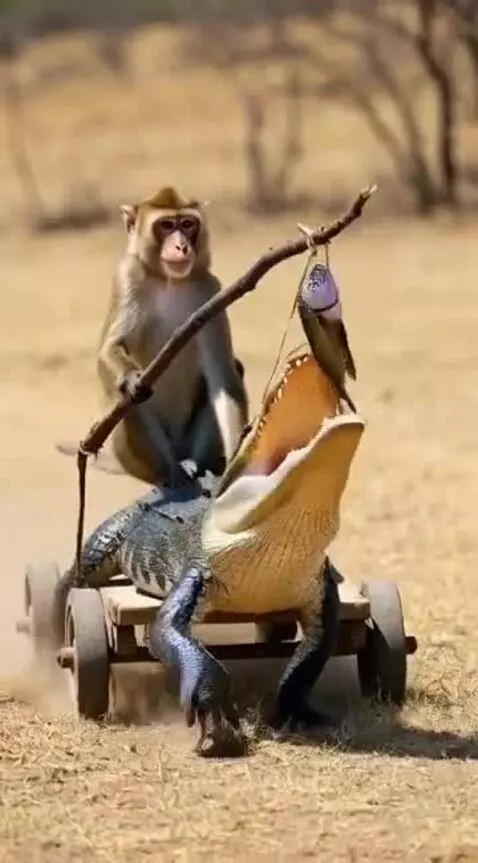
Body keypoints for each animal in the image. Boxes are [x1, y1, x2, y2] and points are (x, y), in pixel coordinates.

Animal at [57, 186, 249, 487]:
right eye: (166, 225)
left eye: (188, 224)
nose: (182, 246)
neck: (168, 279)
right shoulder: (128, 277)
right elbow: (109, 349)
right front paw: (132, 379)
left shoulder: (210, 289)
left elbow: (224, 378)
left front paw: (236, 460)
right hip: (137, 456)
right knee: (123, 400)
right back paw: (169, 473)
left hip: (187, 442)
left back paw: (201, 466)